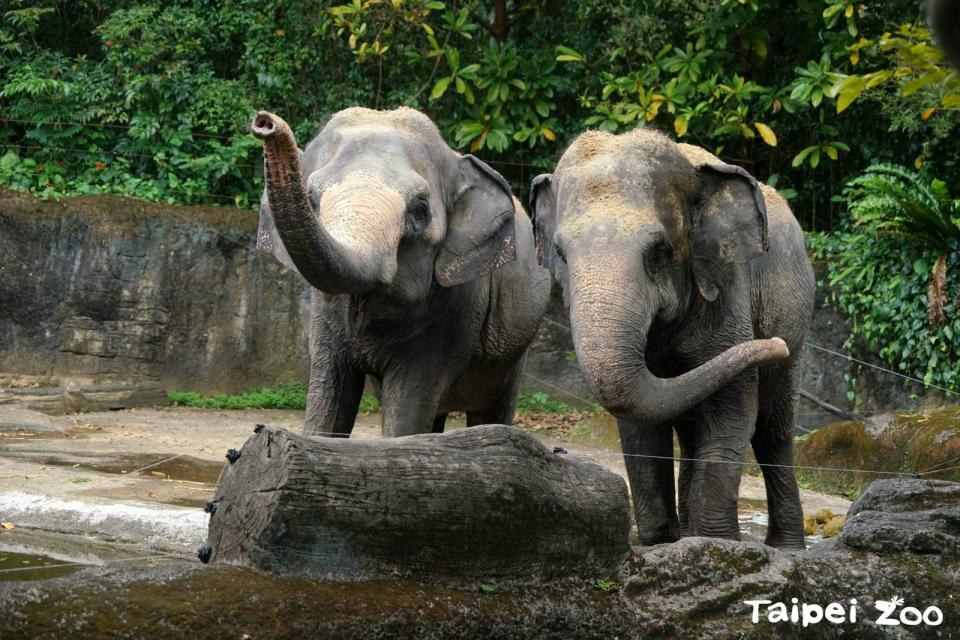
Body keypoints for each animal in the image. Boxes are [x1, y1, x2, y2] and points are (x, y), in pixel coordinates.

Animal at [251, 109, 552, 440]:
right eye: (311, 199)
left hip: (514, 348)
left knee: (490, 409)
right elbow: (329, 396)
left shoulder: (453, 308)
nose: (265, 122)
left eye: (419, 210)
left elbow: (408, 406)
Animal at [528, 130, 812, 552]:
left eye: (659, 252)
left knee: (772, 433)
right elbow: (641, 430)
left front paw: (718, 547)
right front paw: (662, 546)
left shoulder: (727, 292)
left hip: (798, 330)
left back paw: (786, 548)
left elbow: (733, 413)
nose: (775, 344)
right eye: (560, 254)